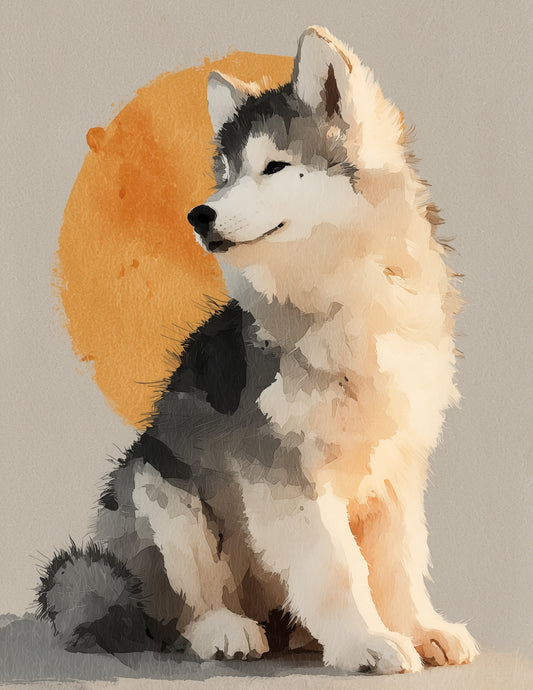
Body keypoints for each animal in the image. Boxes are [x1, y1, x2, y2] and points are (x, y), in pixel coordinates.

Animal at [38, 26, 478, 674]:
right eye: (225, 173)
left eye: (274, 167)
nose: (200, 214)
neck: (342, 299)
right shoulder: (287, 477)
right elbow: (337, 568)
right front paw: (365, 641)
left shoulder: (397, 468)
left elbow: (400, 562)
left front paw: (422, 629)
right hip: (156, 489)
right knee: (182, 611)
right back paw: (225, 631)